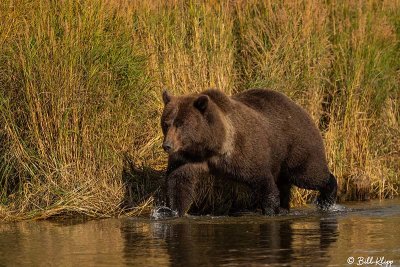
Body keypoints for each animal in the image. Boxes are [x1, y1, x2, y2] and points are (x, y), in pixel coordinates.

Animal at [161, 89, 336, 217]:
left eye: (181, 124)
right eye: (166, 123)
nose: (167, 145)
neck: (212, 146)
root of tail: (300, 108)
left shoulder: (243, 151)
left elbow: (263, 180)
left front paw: (270, 210)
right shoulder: (189, 158)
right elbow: (178, 182)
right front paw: (174, 211)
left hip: (296, 145)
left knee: (307, 174)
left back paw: (327, 198)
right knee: (285, 182)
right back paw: (285, 207)